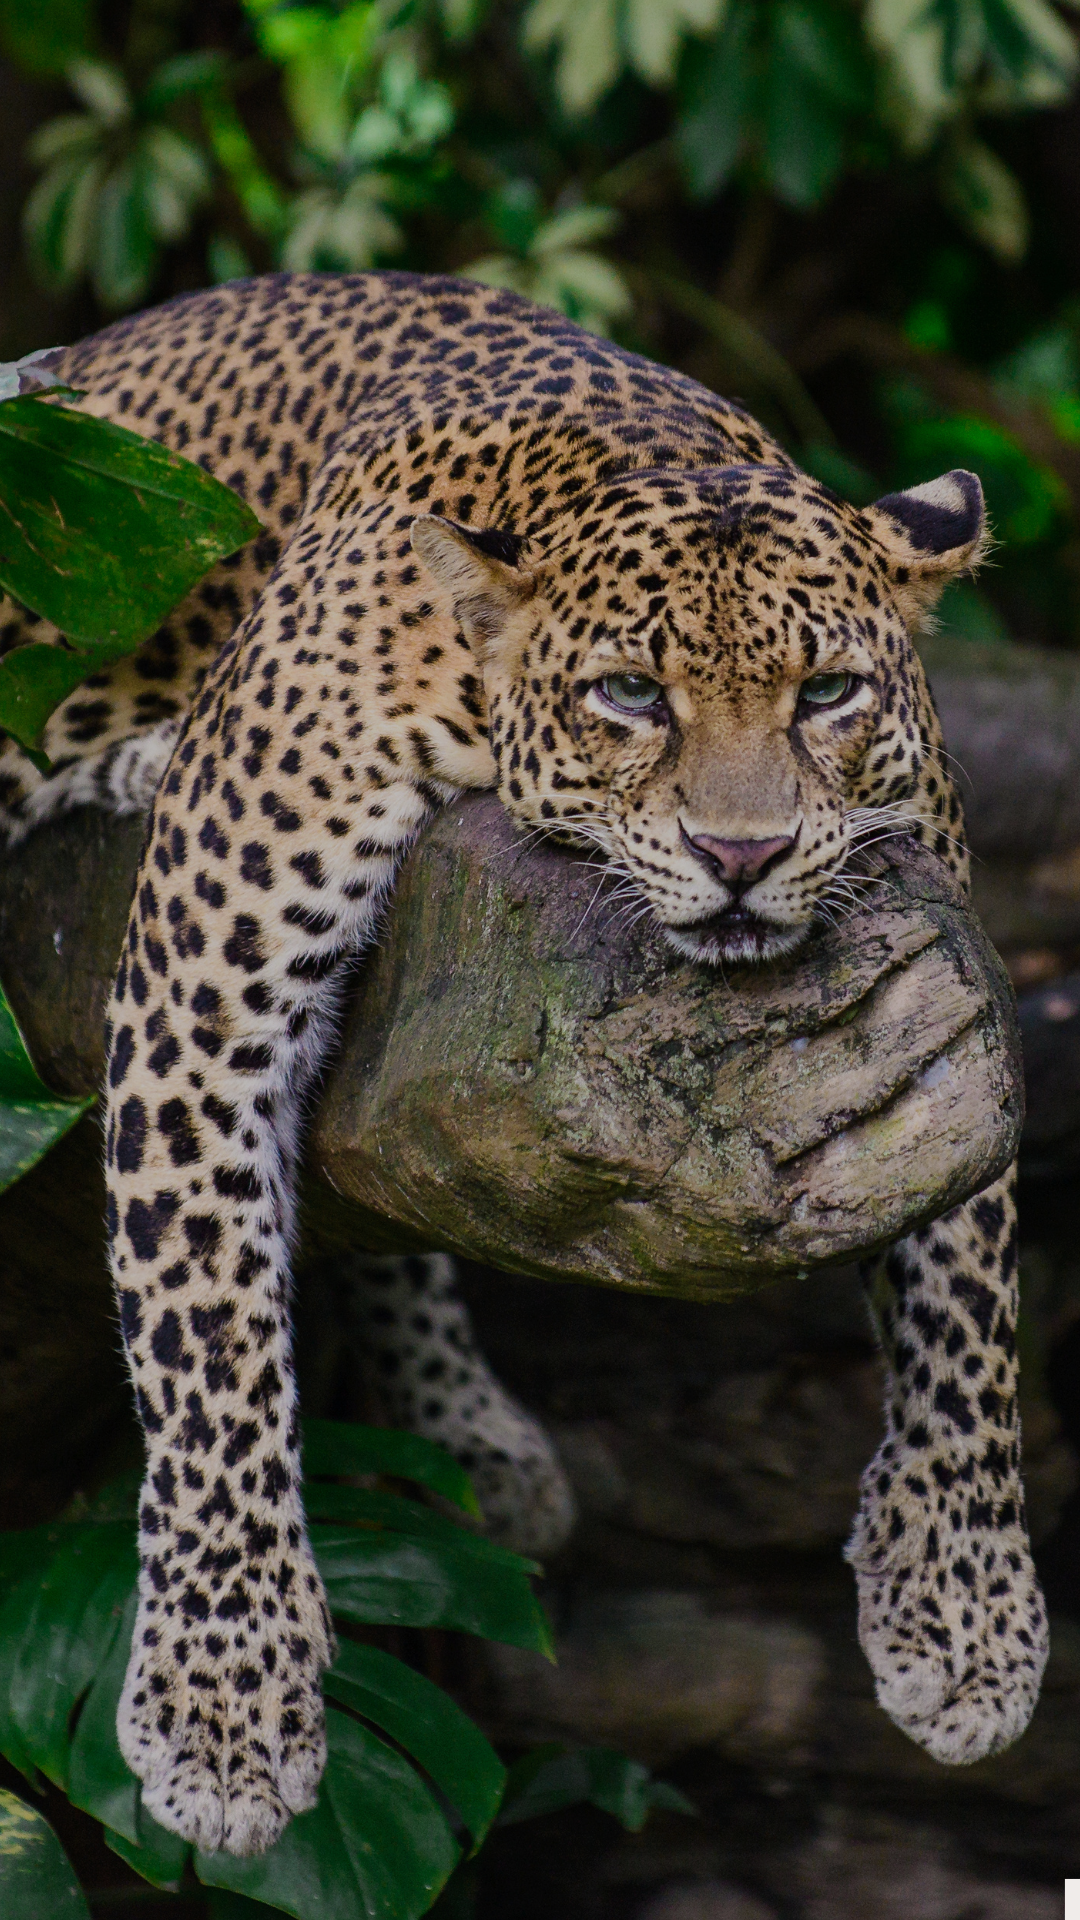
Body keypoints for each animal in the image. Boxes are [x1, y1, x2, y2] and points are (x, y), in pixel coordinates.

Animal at [0, 271, 1045, 1857]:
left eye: (827, 695)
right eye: (630, 694)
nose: (740, 855)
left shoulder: (950, 989)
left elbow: (967, 1286)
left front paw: (967, 1604)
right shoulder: (205, 988)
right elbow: (208, 1331)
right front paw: (220, 1707)